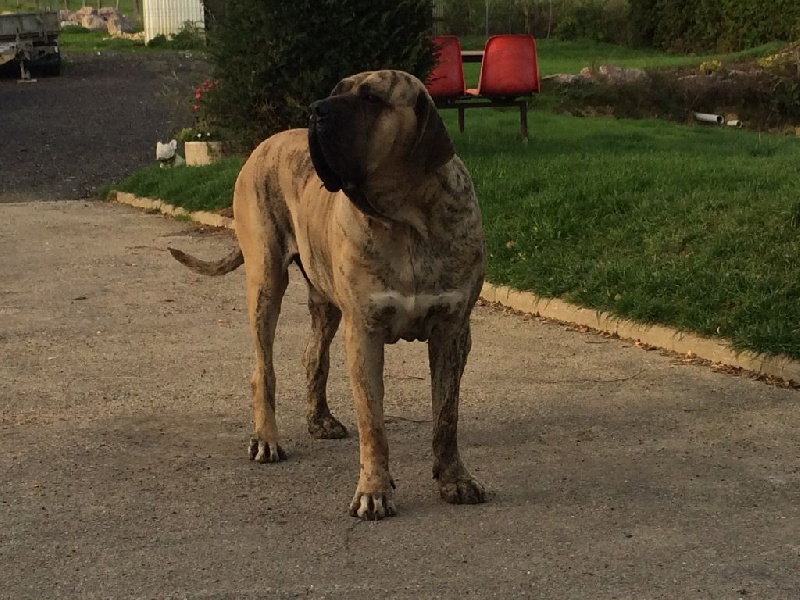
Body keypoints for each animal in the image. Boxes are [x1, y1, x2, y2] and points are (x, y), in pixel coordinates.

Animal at [168, 70, 486, 519]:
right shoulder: (365, 332)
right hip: (266, 280)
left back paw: (320, 420)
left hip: (325, 299)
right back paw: (267, 438)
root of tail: (263, 144)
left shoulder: (453, 329)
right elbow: (373, 423)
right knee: (263, 367)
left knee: (313, 356)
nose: (315, 110)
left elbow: (446, 414)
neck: (405, 219)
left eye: (371, 98)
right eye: (336, 92)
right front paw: (374, 490)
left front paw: (455, 478)